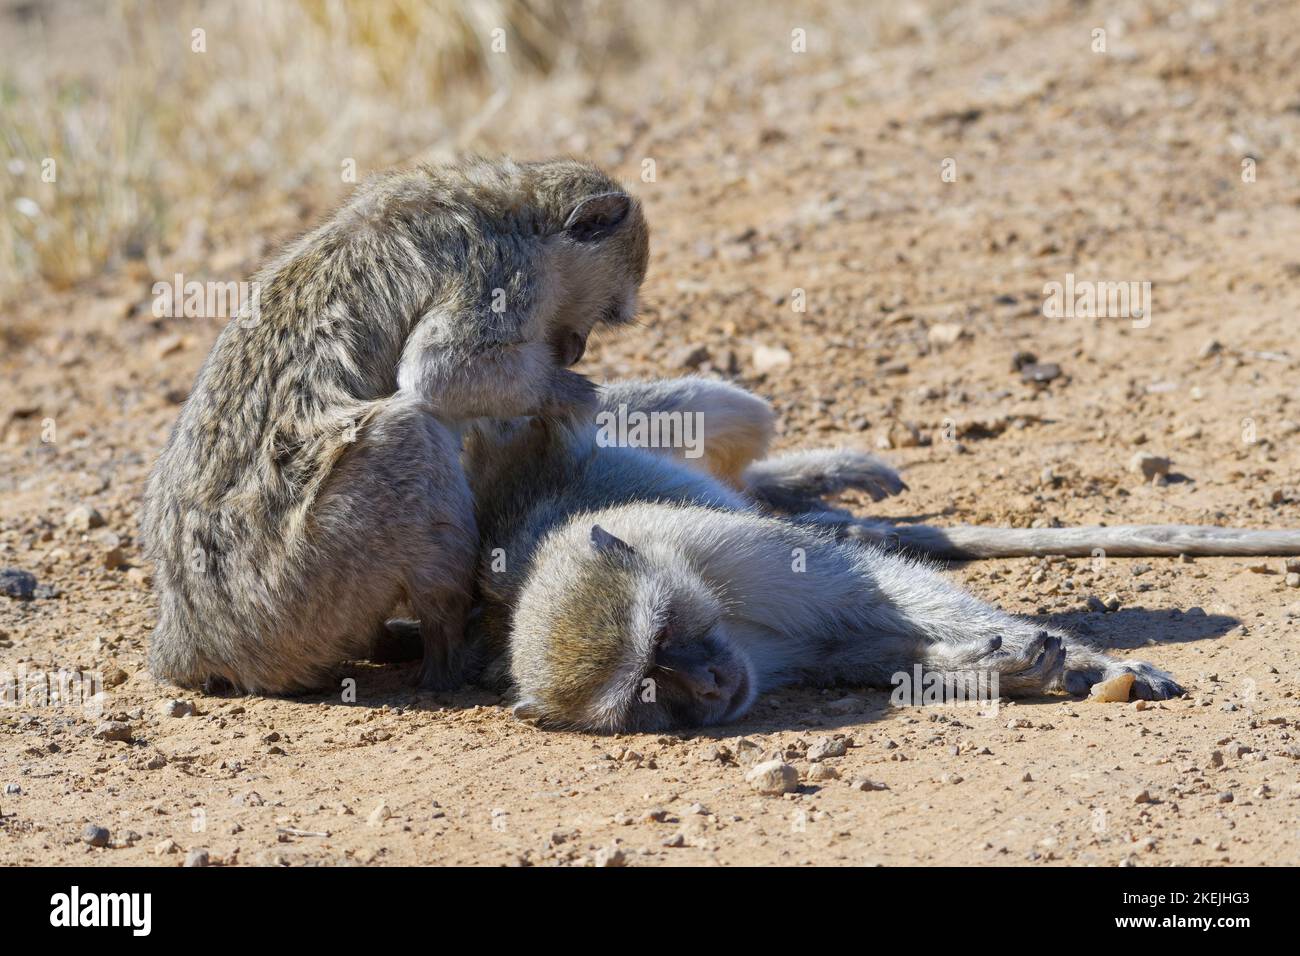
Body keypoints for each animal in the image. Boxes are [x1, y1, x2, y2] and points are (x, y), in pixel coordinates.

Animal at [143, 157, 650, 697]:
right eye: (606, 312)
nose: (575, 349)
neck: (519, 212)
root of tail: (190, 633)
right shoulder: (505, 275)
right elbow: (440, 372)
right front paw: (574, 395)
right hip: (294, 587)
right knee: (410, 428)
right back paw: (451, 659)